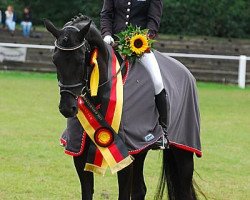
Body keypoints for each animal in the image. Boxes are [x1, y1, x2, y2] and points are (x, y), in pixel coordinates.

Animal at [44, 14, 202, 199]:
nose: (67, 108)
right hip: (141, 149)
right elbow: (87, 191)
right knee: (140, 189)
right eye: (54, 59)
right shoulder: (78, 151)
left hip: (182, 148)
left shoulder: (125, 154)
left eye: (81, 59)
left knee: (183, 188)